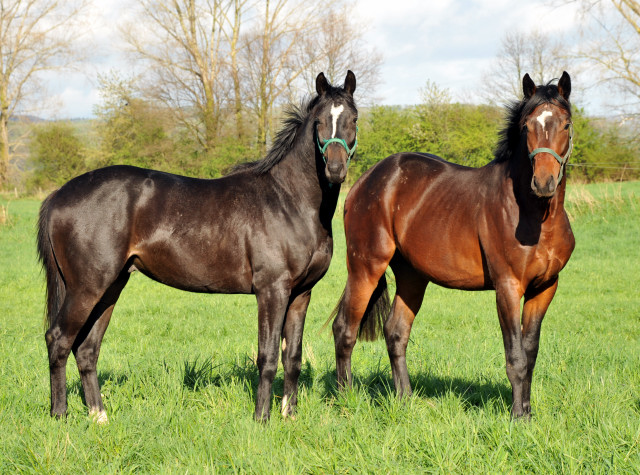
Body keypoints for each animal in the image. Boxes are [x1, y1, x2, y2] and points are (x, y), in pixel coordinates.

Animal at [37, 71, 358, 424]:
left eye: (353, 118)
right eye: (319, 122)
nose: (335, 170)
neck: (288, 199)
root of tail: (58, 195)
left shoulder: (301, 294)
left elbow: (293, 357)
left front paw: (290, 415)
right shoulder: (271, 290)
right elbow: (268, 356)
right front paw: (261, 419)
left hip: (110, 286)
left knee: (86, 348)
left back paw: (99, 416)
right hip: (86, 287)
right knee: (59, 340)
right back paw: (60, 415)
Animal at [330, 72, 576, 418]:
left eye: (566, 124)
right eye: (527, 126)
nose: (543, 183)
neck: (534, 215)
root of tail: (365, 181)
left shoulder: (545, 288)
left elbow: (530, 353)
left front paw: (527, 413)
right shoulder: (508, 287)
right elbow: (515, 357)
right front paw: (517, 418)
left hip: (412, 276)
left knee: (396, 332)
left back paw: (405, 400)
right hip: (365, 267)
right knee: (345, 329)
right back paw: (345, 398)